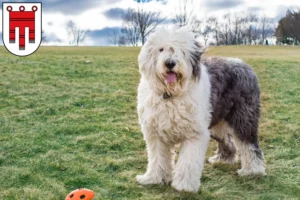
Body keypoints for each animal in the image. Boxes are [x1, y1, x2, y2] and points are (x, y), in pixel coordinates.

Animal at [136, 27, 264, 192]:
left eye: (182, 51)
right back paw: (223, 159)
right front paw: (154, 178)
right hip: (216, 121)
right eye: (161, 49)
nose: (170, 63)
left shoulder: (194, 134)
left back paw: (253, 170)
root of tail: (243, 64)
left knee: (249, 144)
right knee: (227, 140)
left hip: (243, 117)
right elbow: (157, 158)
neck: (170, 94)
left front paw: (184, 186)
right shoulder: (156, 133)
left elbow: (188, 162)